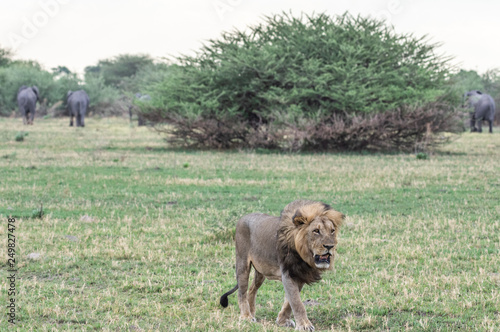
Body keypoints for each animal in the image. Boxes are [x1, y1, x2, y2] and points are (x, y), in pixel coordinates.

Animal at [220, 200, 344, 330]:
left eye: (332, 231)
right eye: (316, 231)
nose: (330, 246)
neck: (304, 255)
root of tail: (242, 218)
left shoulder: (300, 275)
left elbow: (289, 302)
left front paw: (282, 321)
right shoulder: (288, 274)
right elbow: (297, 302)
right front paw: (305, 325)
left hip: (261, 272)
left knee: (252, 289)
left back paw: (252, 313)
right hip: (242, 264)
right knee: (242, 292)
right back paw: (246, 316)